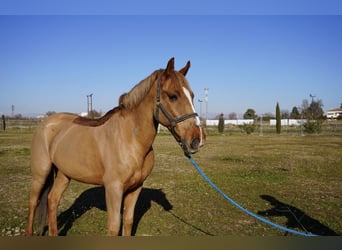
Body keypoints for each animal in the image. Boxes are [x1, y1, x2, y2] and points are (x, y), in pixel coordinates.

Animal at [25, 57, 206, 235]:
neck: (131, 140)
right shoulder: (114, 189)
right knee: (33, 202)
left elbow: (128, 221)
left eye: (192, 96)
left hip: (64, 174)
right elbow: (114, 226)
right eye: (173, 96)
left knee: (52, 200)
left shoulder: (135, 188)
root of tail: (46, 123)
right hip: (40, 173)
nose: (197, 139)